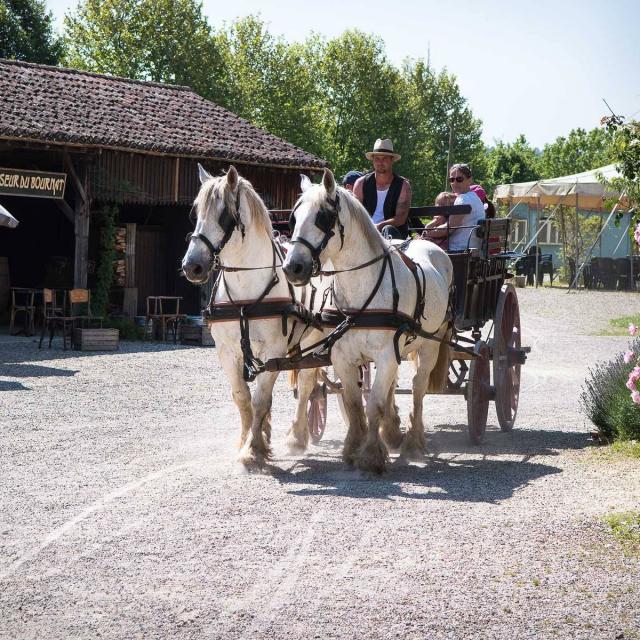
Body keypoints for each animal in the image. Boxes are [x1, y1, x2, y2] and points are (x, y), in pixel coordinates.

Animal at [182, 166, 328, 470]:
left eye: (225, 215)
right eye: (195, 212)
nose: (192, 266)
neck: (246, 292)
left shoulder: (273, 350)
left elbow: (261, 399)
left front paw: (253, 450)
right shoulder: (227, 351)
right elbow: (243, 398)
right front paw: (247, 441)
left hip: (318, 338)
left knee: (307, 384)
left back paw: (297, 437)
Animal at [282, 170, 452, 476]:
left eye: (323, 217)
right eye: (294, 218)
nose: (293, 268)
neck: (362, 289)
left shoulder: (386, 355)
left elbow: (373, 404)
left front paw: (371, 455)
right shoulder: (343, 356)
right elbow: (354, 403)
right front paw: (353, 448)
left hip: (430, 345)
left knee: (418, 388)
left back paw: (413, 442)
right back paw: (392, 433)